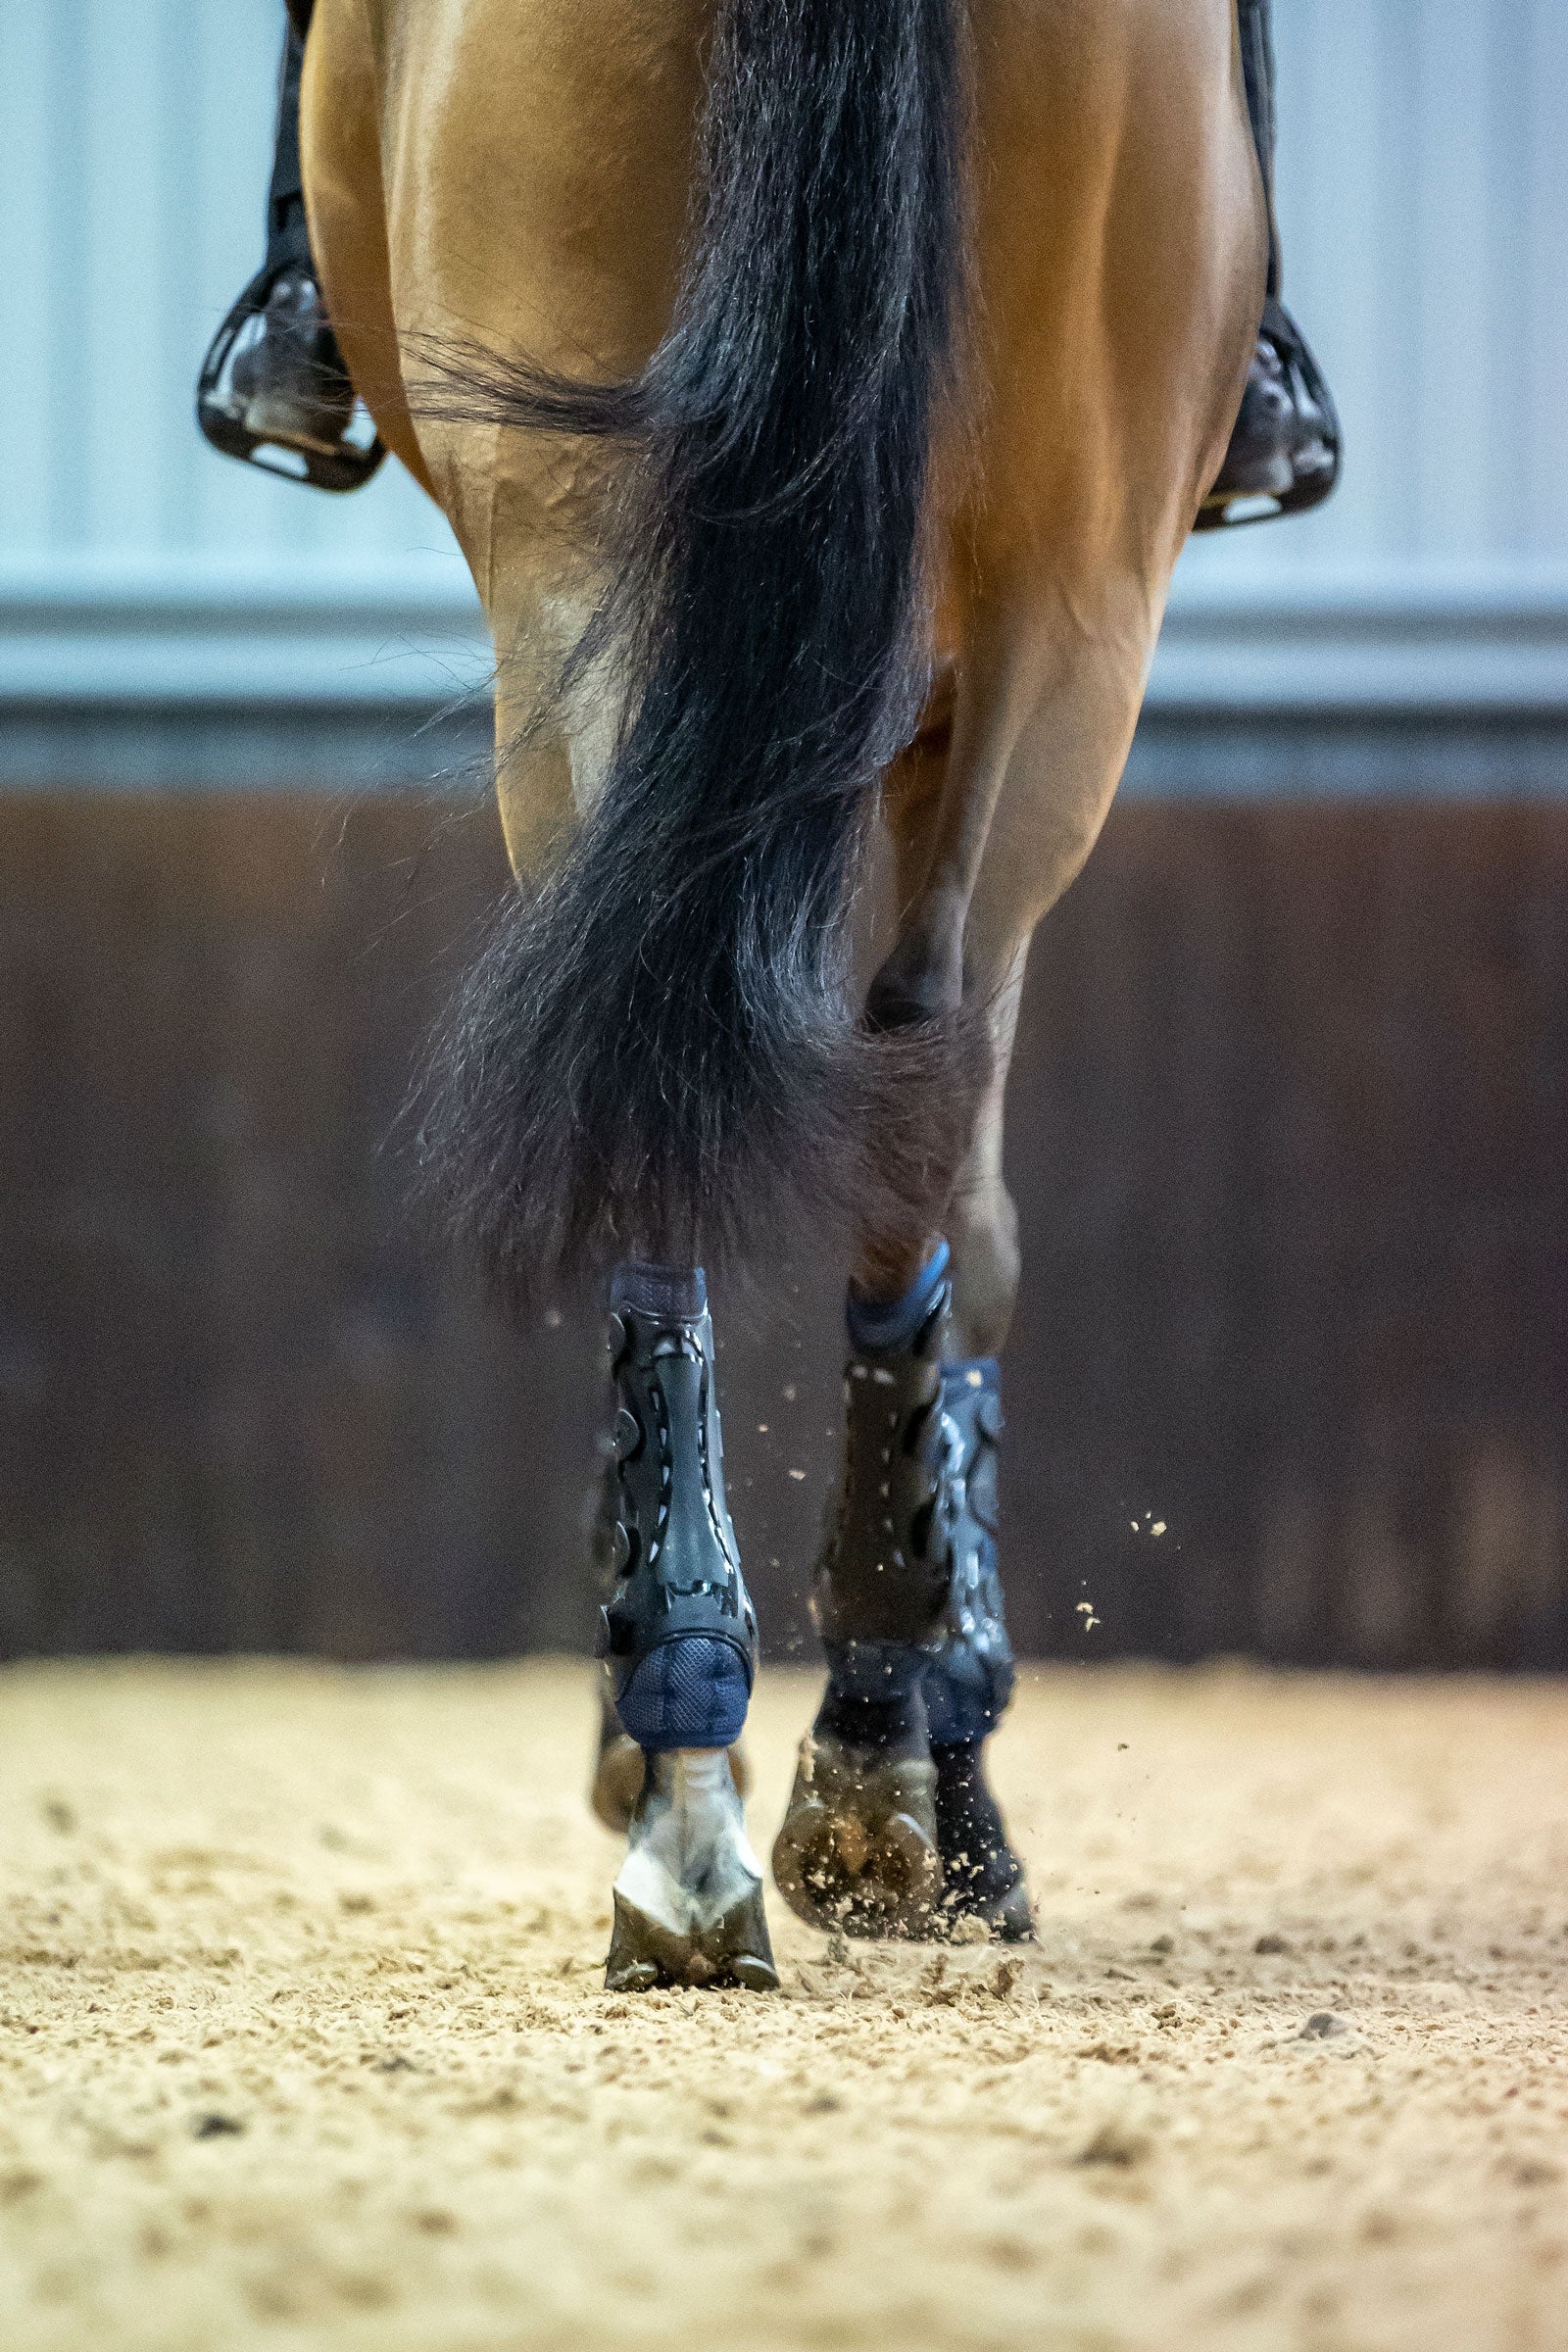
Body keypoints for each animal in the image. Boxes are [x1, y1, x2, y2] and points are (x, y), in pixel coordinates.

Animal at [299, 0, 1265, 1989]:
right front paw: (950, 1753)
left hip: (608, 547)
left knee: (707, 1088)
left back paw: (696, 1767)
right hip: (1059, 609)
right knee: (927, 1081)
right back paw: (849, 1757)